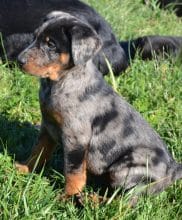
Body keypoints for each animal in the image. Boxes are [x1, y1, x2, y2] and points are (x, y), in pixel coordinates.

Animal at [16, 11, 181, 199]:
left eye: (51, 45)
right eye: (34, 37)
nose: (19, 60)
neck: (59, 83)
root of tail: (173, 170)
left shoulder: (76, 138)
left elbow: (73, 171)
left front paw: (69, 197)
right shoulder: (47, 126)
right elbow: (38, 151)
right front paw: (26, 168)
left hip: (127, 168)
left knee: (125, 198)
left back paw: (92, 200)